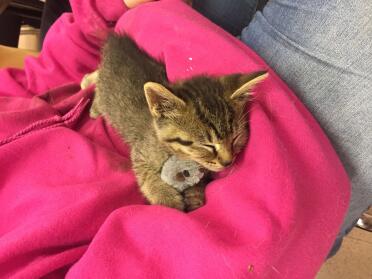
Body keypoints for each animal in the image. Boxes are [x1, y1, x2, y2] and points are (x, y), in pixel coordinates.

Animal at [83, 34, 268, 211]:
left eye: (235, 138)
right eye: (207, 145)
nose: (228, 162)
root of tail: (117, 42)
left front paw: (195, 196)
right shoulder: (139, 153)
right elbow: (147, 176)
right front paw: (167, 199)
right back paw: (92, 101)